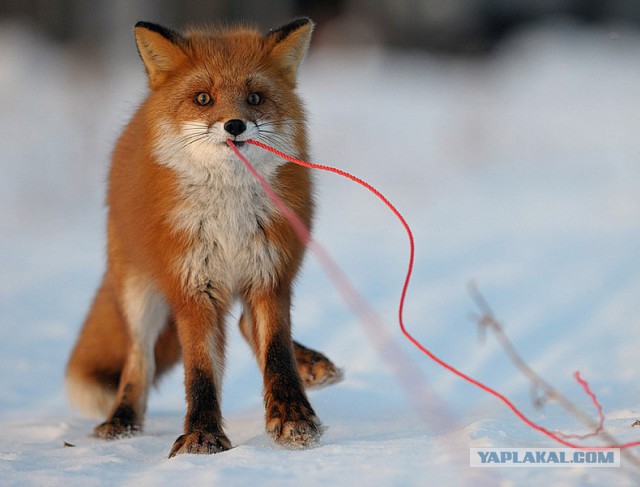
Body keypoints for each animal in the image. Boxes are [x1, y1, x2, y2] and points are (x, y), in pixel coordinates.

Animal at [65, 17, 342, 457]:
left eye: (255, 98)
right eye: (203, 99)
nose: (235, 125)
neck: (227, 217)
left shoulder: (270, 275)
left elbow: (277, 354)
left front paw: (293, 417)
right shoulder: (193, 289)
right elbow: (200, 372)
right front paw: (202, 435)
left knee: (246, 325)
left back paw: (310, 366)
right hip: (137, 290)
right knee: (137, 360)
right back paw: (122, 421)